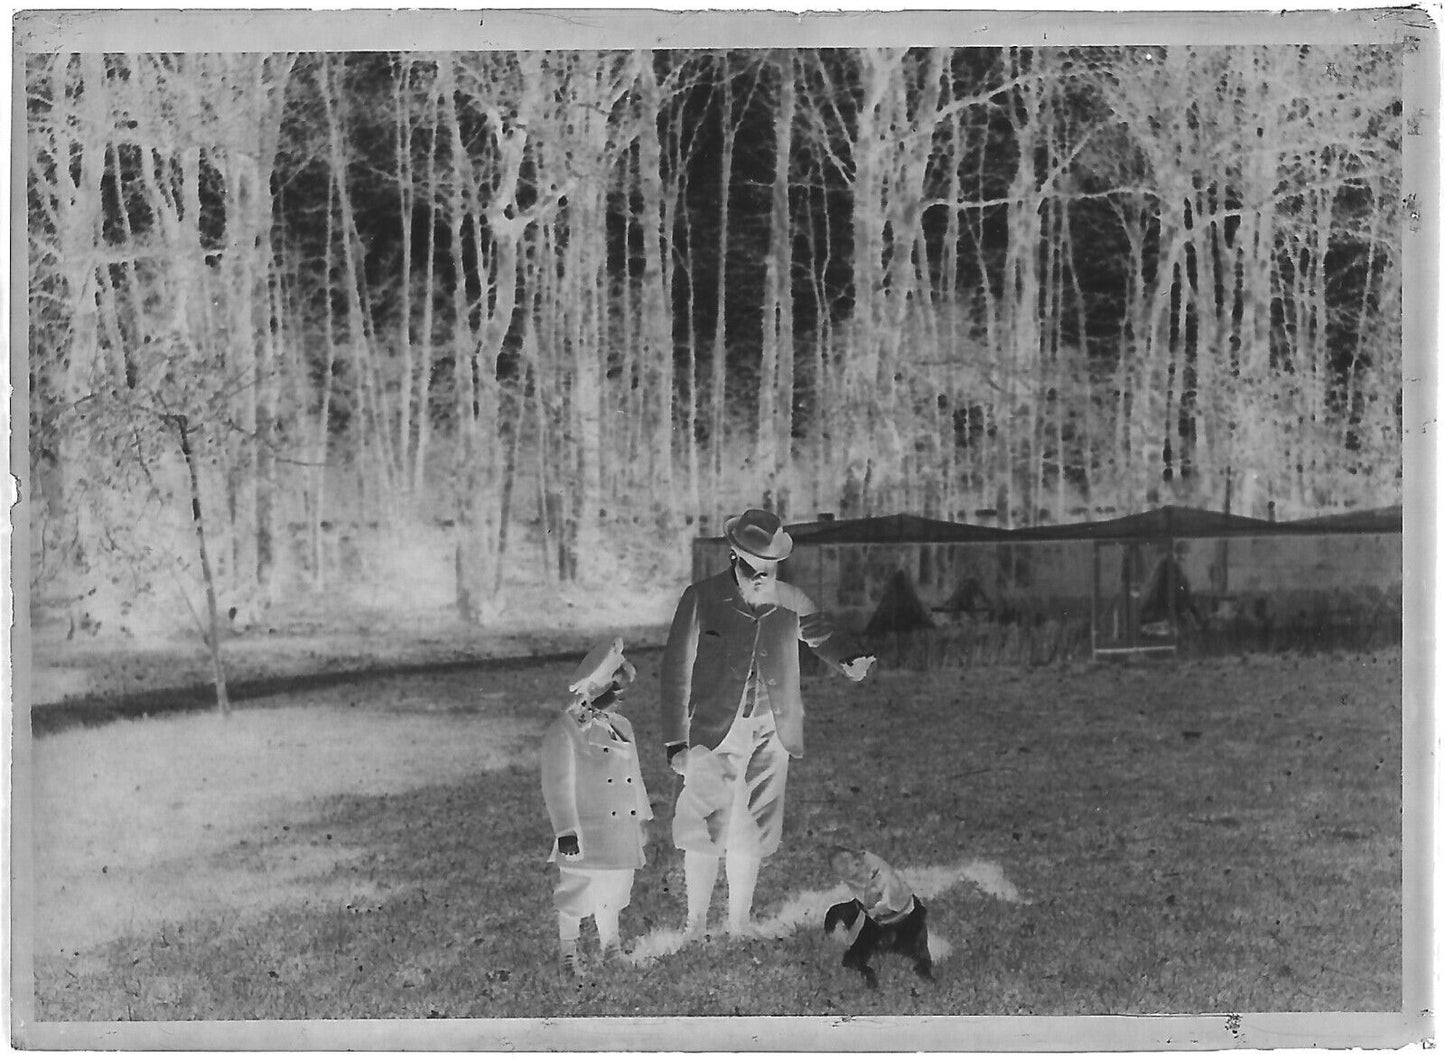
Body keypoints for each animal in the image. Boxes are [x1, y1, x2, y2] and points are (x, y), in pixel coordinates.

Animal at [826, 849, 936, 988]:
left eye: (857, 862)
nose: (832, 849)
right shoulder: (853, 953)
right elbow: (865, 968)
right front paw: (872, 982)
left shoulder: (921, 949)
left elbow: (924, 964)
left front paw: (928, 978)